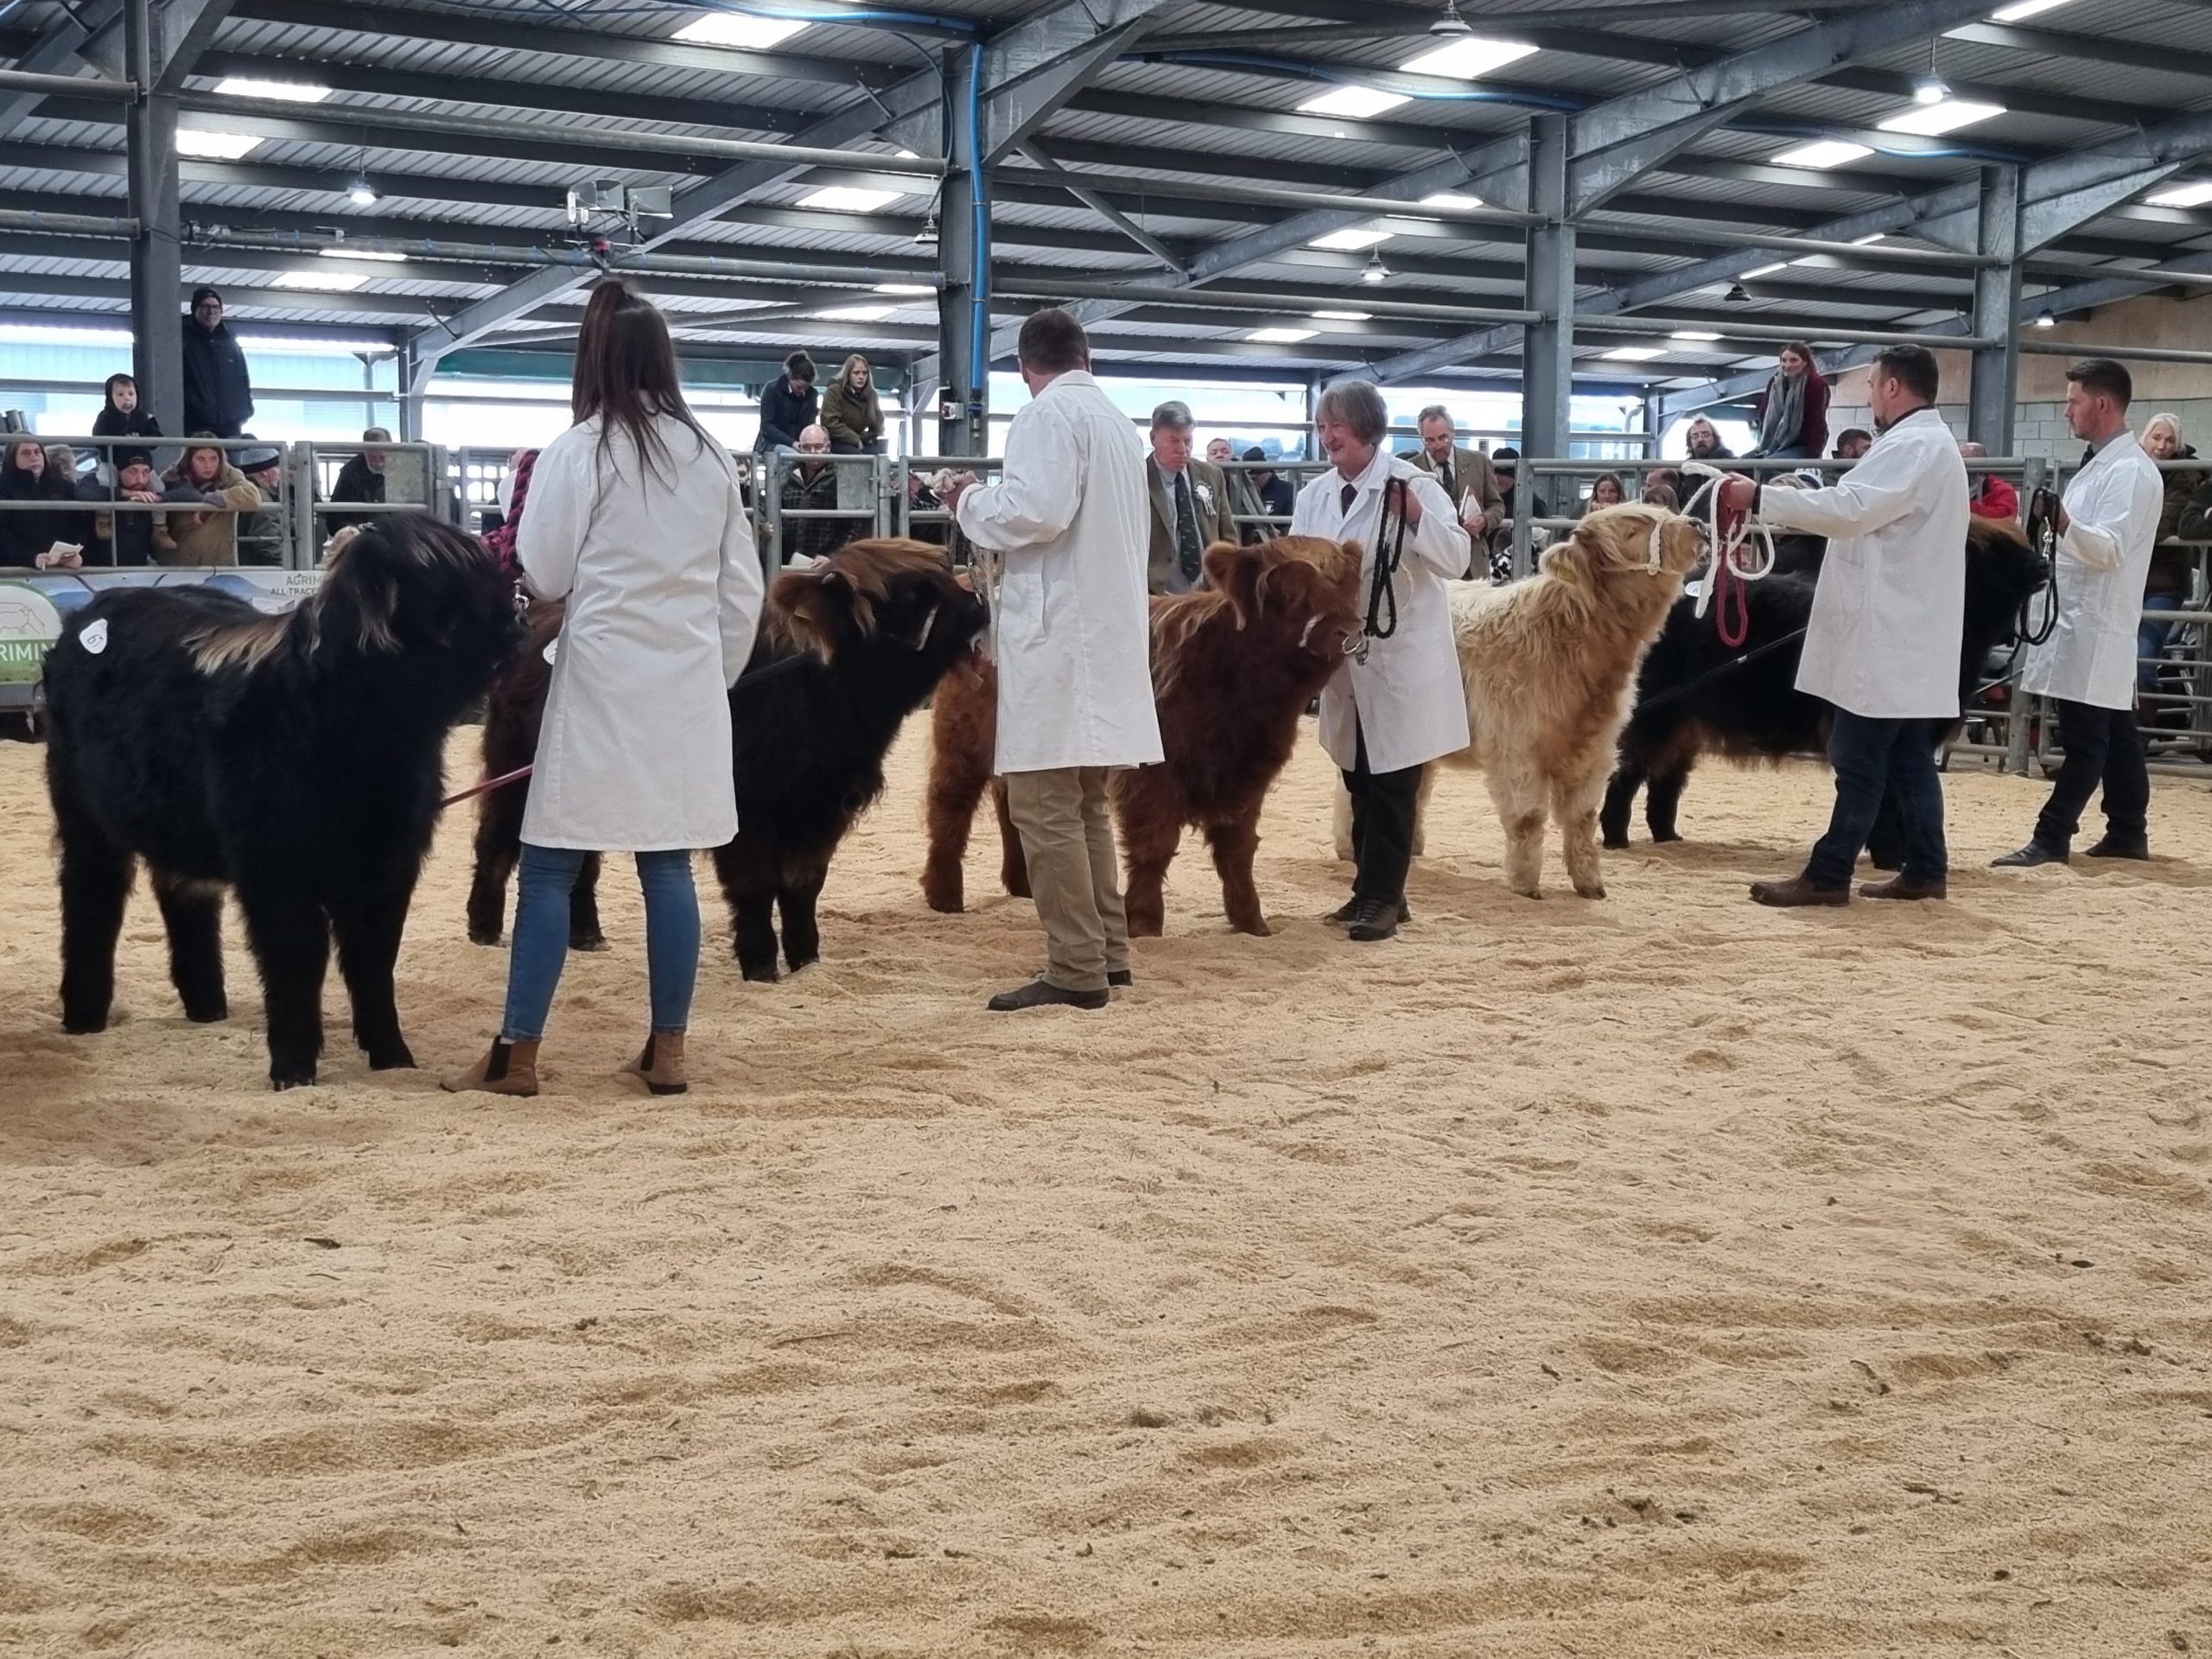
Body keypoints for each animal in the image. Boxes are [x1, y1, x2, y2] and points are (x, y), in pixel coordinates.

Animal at [45, 519, 519, 1092]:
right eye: (450, 587)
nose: (516, 625)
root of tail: (93, 610)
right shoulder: (275, 869)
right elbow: (296, 959)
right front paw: (293, 1069)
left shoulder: (390, 864)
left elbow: (374, 960)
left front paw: (393, 1056)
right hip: (83, 815)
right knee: (90, 898)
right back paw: (85, 1015)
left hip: (174, 822)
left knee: (184, 895)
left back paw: (207, 1005)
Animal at [471, 542, 982, 986]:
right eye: (914, 593)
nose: (979, 602)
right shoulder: (747, 812)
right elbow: (755, 885)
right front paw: (760, 964)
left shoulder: (819, 811)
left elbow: (803, 886)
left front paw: (807, 960)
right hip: (515, 775)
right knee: (495, 840)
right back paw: (483, 926)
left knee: (580, 858)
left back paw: (586, 934)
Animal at [1601, 518, 2044, 858]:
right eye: (1996, 551)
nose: (2042, 563)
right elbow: (1886, 799)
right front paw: (1888, 854)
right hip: (1655, 714)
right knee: (1629, 771)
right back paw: (1615, 837)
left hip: (1686, 720)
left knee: (1666, 777)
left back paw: (1667, 836)